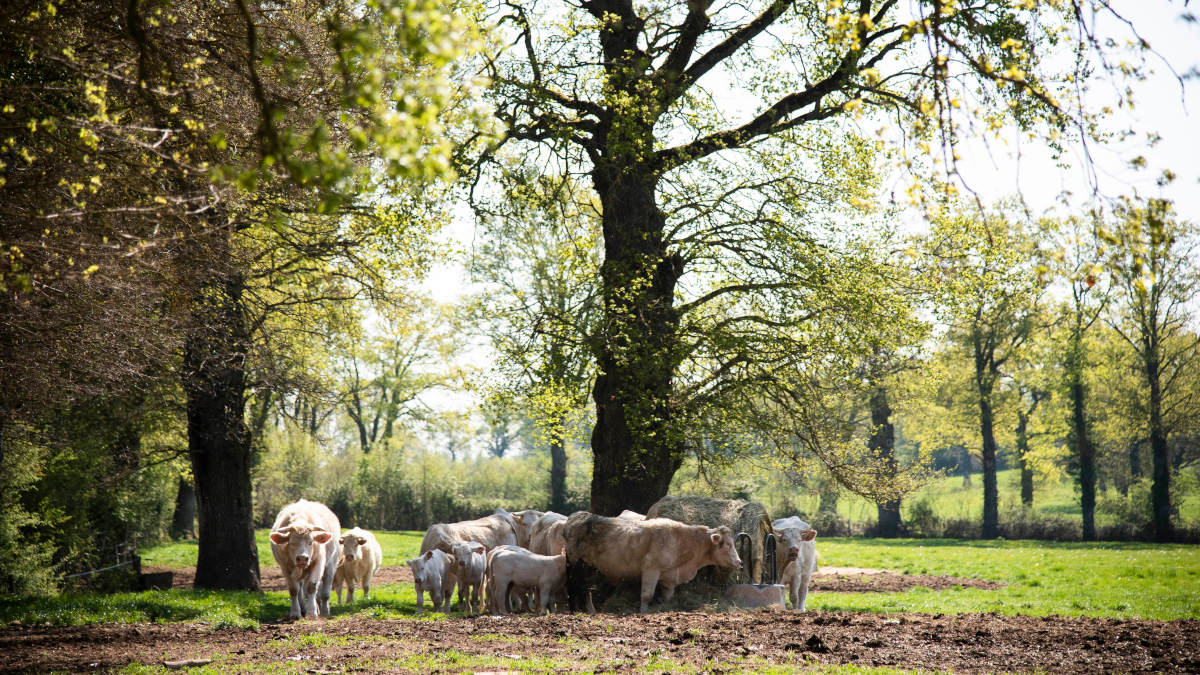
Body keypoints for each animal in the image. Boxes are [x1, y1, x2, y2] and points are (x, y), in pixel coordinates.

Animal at [561, 511, 739, 612]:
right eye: (728, 544)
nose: (739, 562)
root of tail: (577, 518)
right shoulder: (651, 570)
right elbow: (647, 595)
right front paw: (643, 612)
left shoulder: (670, 577)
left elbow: (667, 597)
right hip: (577, 563)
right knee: (578, 587)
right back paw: (582, 610)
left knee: (581, 588)